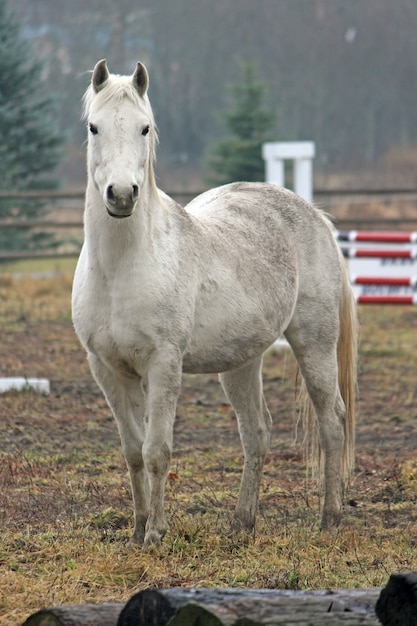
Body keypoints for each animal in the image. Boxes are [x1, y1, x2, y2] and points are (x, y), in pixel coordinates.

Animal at [72, 61, 358, 544]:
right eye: (94, 127)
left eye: (145, 128)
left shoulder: (163, 364)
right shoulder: (107, 369)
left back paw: (331, 518)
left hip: (314, 343)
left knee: (331, 420)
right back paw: (242, 521)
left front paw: (156, 534)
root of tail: (315, 215)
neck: (121, 267)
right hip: (241, 361)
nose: (122, 195)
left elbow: (157, 450)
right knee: (256, 432)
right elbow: (132, 452)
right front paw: (137, 529)